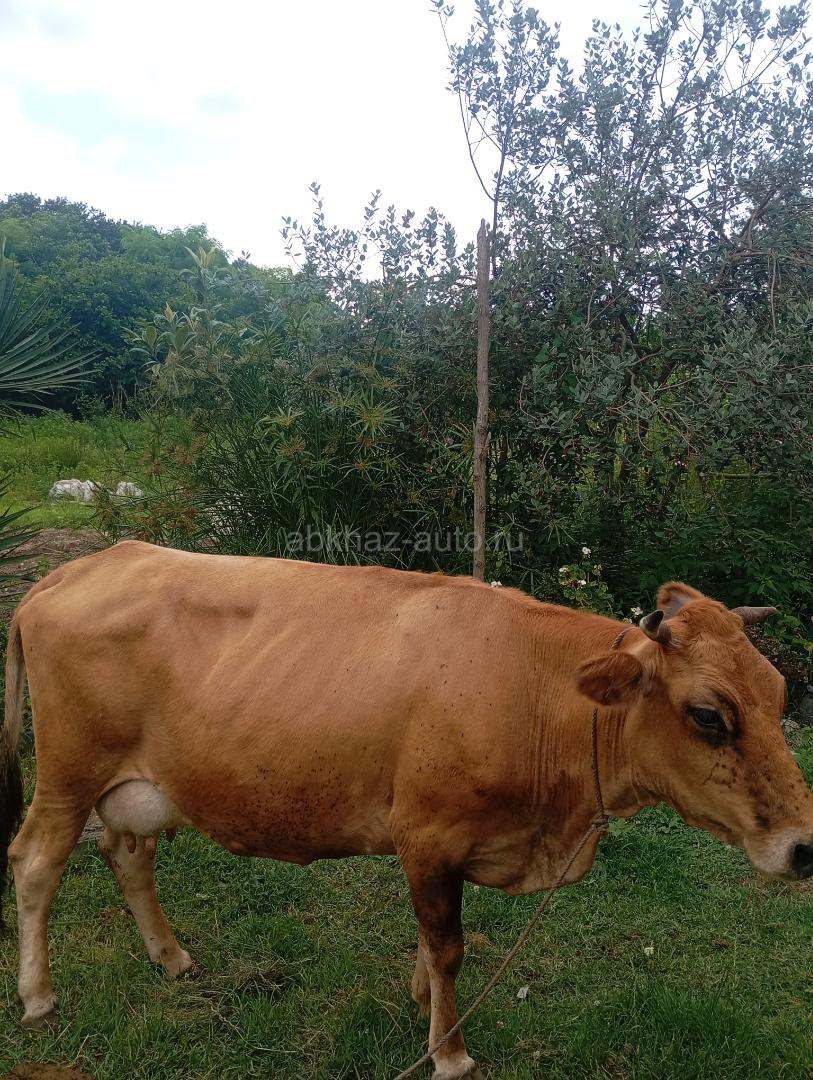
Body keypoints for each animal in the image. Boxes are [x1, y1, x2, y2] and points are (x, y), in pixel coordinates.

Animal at [1, 541, 811, 1080]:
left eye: (778, 693)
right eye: (708, 716)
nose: (804, 847)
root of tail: (81, 566)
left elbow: (431, 941)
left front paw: (422, 1001)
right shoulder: (427, 835)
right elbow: (448, 944)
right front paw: (448, 1049)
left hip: (137, 784)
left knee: (127, 853)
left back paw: (170, 956)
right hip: (68, 773)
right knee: (36, 862)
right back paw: (38, 996)